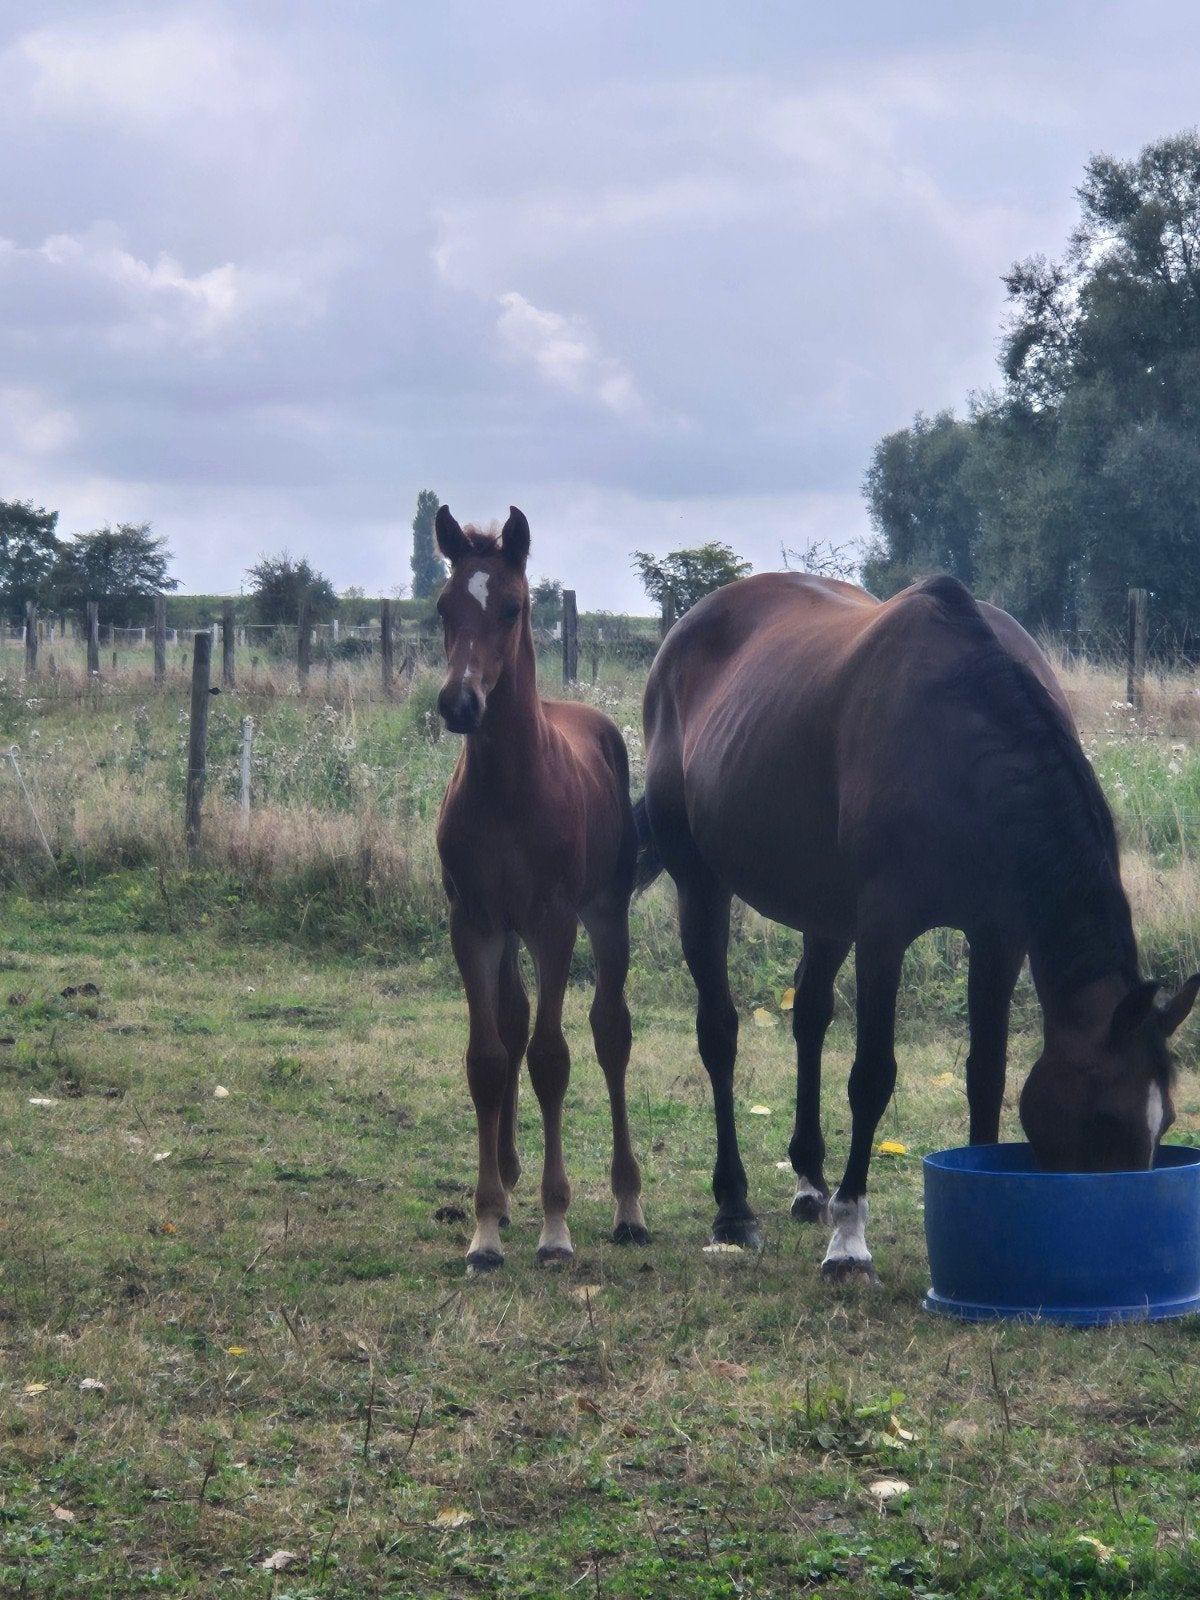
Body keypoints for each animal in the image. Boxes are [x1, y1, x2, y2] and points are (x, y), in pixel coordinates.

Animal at [433, 504, 648, 1272]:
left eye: (512, 606)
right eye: (443, 607)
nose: (460, 703)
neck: (508, 790)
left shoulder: (554, 923)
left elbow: (554, 1060)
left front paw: (557, 1227)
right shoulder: (474, 923)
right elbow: (488, 1059)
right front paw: (485, 1226)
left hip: (605, 915)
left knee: (610, 1033)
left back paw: (627, 1205)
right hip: (510, 932)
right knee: (514, 1022)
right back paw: (509, 1174)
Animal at [636, 570, 1198, 1281]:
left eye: (1167, 1119)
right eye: (1104, 1117)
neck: (965, 743)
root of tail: (682, 633)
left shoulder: (999, 938)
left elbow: (986, 1072)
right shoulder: (884, 931)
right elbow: (872, 1076)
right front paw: (849, 1241)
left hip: (826, 913)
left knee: (809, 1016)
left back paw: (809, 1184)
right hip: (701, 887)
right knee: (719, 1034)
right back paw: (734, 1210)